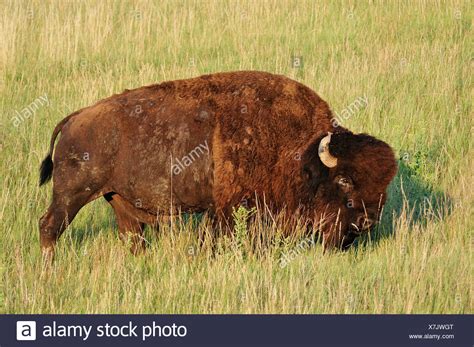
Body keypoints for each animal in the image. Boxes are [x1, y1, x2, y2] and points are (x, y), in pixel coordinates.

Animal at [39, 70, 398, 258]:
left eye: (384, 184)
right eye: (344, 180)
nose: (368, 222)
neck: (300, 152)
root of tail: (75, 117)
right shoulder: (229, 208)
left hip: (116, 198)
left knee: (132, 235)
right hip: (72, 194)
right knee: (49, 225)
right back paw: (49, 267)